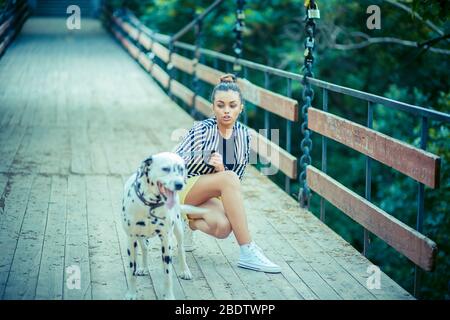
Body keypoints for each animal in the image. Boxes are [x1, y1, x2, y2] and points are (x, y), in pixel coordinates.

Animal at [121, 151, 209, 298]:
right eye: (165, 169)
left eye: (181, 169)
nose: (179, 184)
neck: (150, 205)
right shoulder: (131, 239)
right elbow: (131, 271)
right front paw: (131, 294)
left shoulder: (166, 241)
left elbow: (167, 275)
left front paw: (168, 296)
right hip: (140, 236)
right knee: (145, 247)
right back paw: (143, 267)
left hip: (178, 229)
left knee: (181, 249)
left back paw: (185, 270)